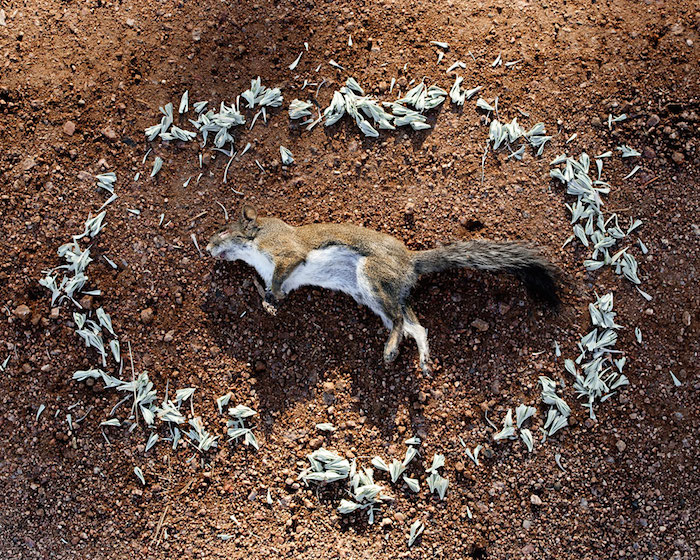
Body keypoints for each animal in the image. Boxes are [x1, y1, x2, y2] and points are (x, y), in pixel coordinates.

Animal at [207, 205, 560, 372]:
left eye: (224, 231)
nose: (208, 246)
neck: (256, 245)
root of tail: (410, 262)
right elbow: (274, 287)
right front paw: (267, 298)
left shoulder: (286, 251)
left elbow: (283, 273)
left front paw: (270, 298)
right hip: (378, 295)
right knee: (416, 328)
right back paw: (422, 359)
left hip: (372, 276)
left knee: (403, 323)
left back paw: (391, 349)